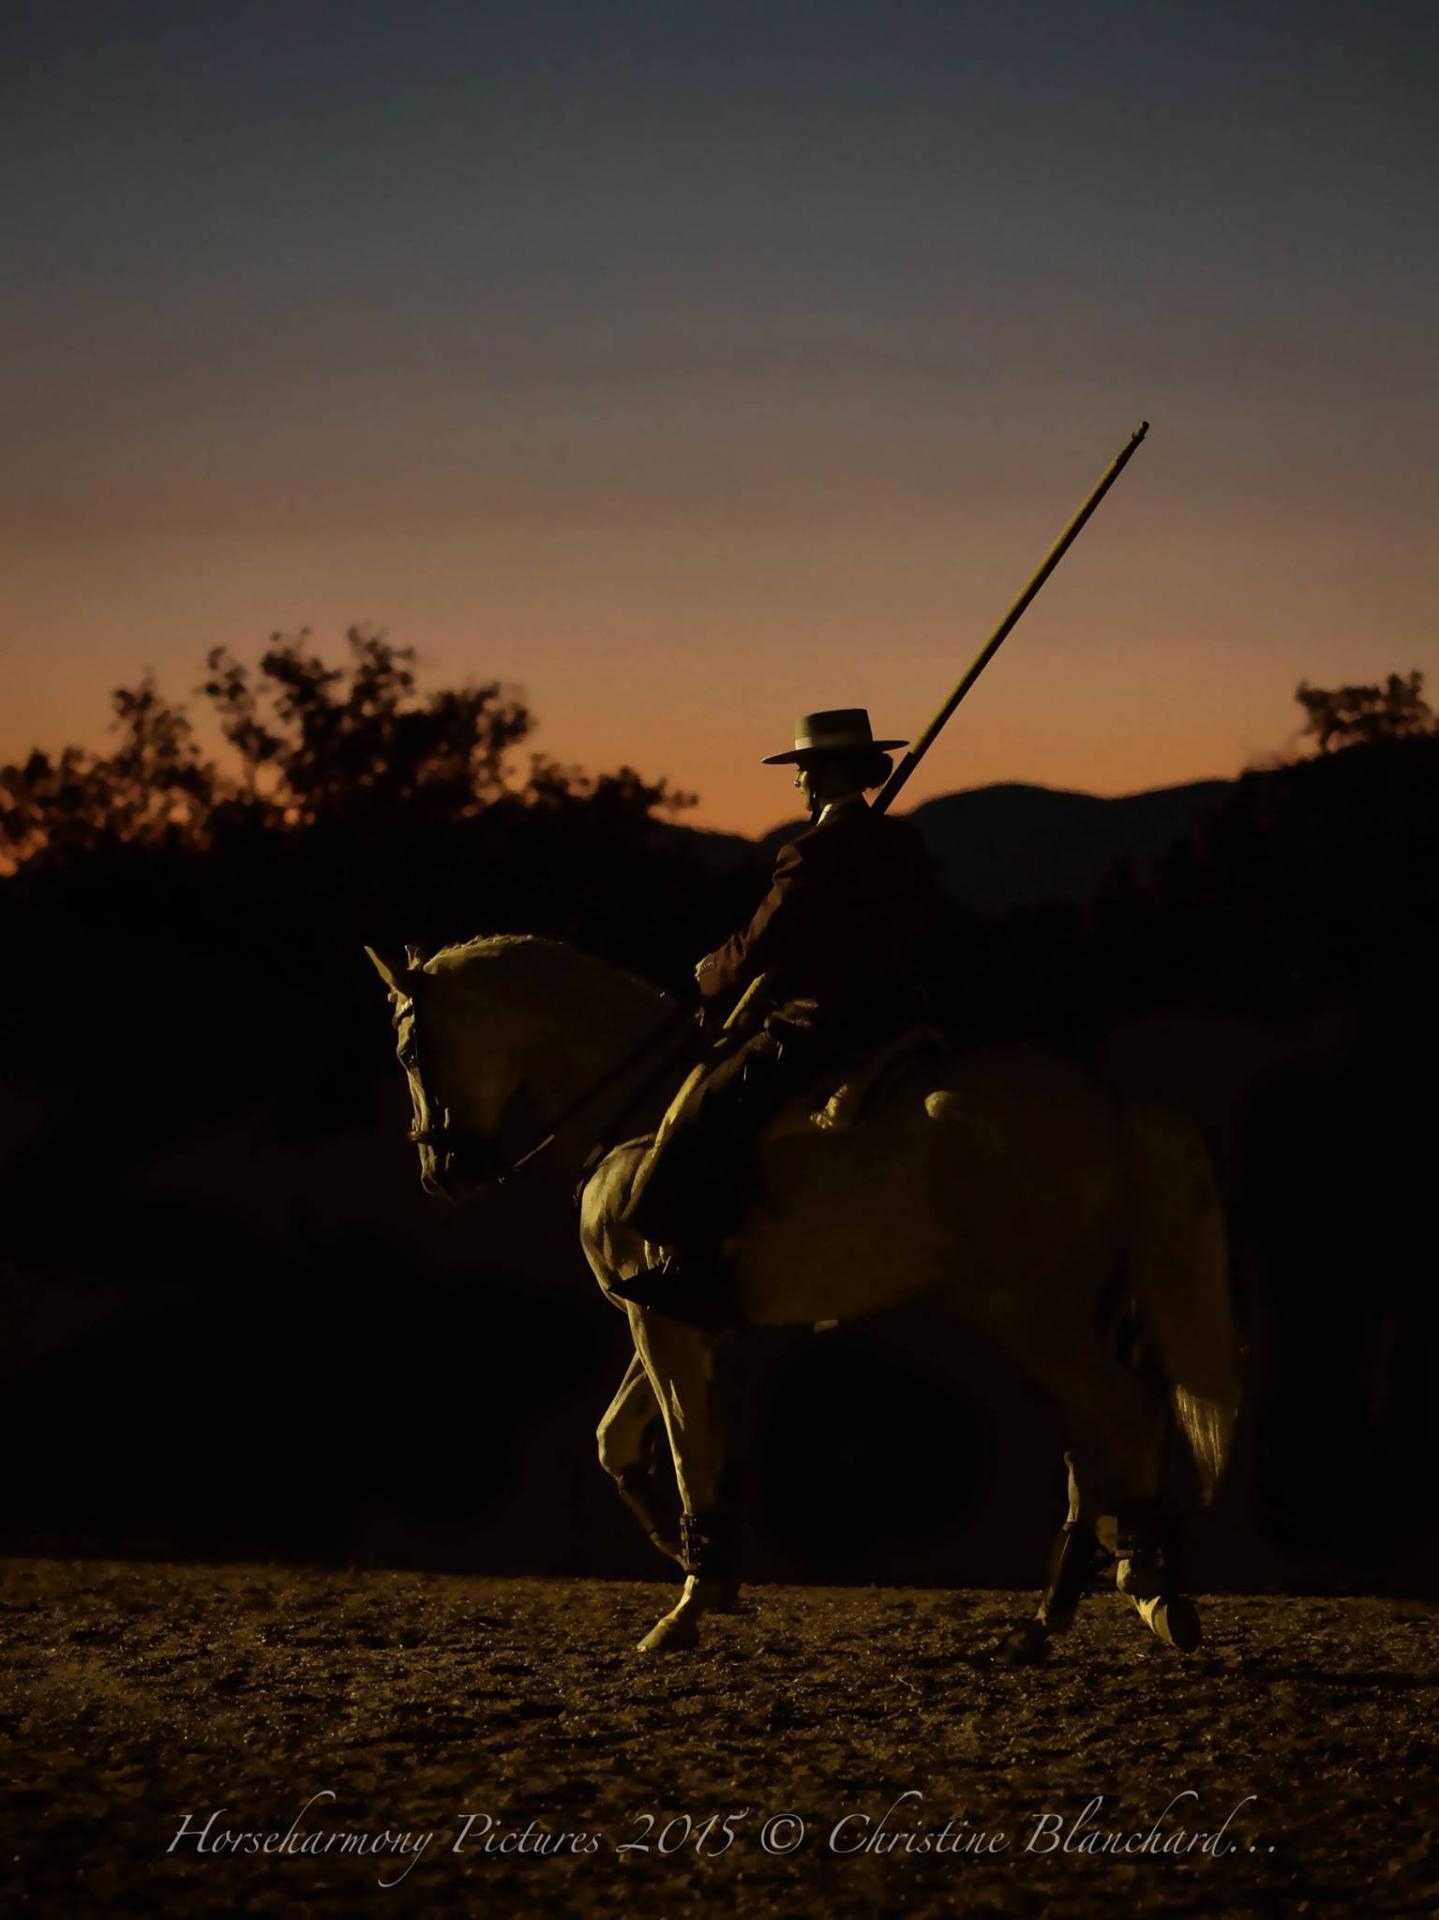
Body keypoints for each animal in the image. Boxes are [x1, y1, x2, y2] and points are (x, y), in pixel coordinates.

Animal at [365, 936, 1237, 1658]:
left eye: (409, 1049)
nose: (442, 1175)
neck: (639, 1117)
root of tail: (1108, 1103)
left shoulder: (659, 1323)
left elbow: (689, 1451)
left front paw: (690, 1600)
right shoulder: (678, 1320)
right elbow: (619, 1441)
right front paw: (693, 1558)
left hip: (1034, 1315)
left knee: (1121, 1416)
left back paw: (1127, 1592)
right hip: (1066, 1317)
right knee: (1098, 1439)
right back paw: (1083, 1604)